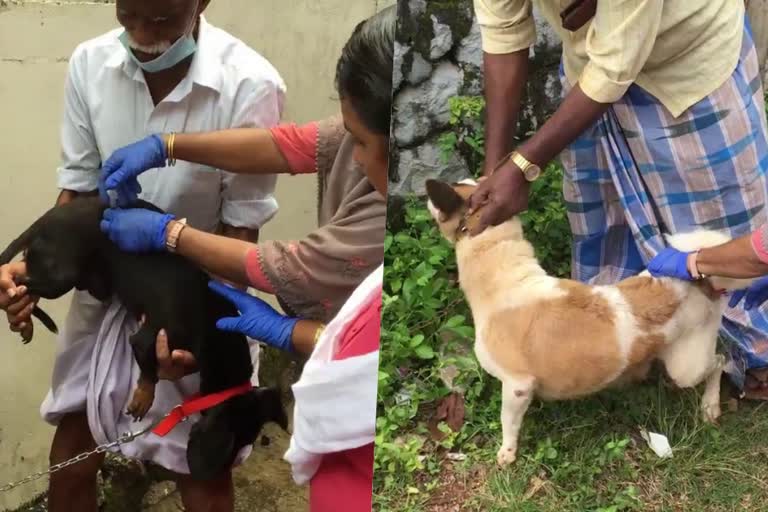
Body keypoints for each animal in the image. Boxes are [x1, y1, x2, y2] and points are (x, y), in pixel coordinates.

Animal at [0, 196, 288, 480]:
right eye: (232, 446)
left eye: (247, 441)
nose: (225, 470)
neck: (211, 324)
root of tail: (46, 219)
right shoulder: (148, 338)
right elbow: (150, 371)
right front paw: (142, 399)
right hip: (60, 276)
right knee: (21, 284)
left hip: (86, 281)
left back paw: (27, 323)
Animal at [426, 179, 756, 468]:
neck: (506, 279)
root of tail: (696, 277)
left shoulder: (517, 386)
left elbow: (508, 422)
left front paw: (507, 453)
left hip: (687, 367)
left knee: (721, 361)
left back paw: (710, 405)